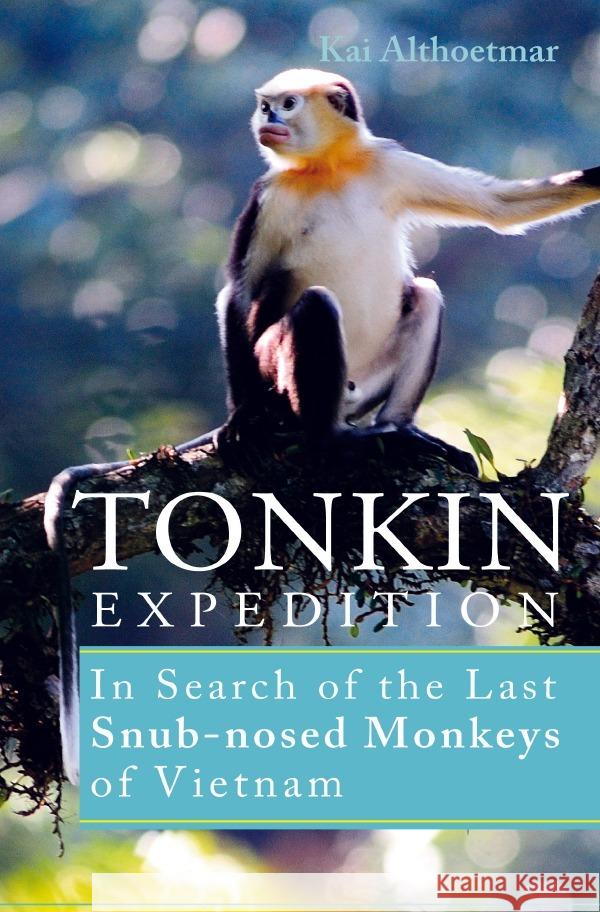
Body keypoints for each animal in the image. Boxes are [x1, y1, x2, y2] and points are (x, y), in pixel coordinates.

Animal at [44, 67, 600, 784]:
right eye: (266, 105)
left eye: (284, 105)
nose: (267, 121)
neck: (327, 169)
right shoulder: (269, 198)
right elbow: (239, 293)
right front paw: (239, 421)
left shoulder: (388, 162)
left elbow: (499, 208)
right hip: (282, 372)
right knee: (311, 306)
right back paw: (317, 437)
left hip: (372, 380)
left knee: (424, 294)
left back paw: (399, 432)